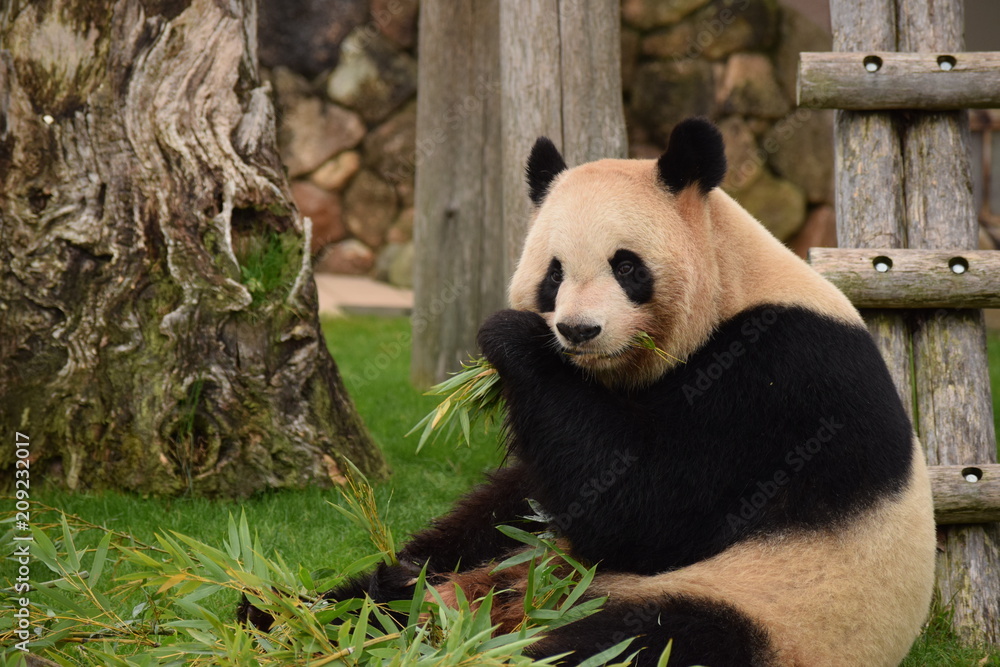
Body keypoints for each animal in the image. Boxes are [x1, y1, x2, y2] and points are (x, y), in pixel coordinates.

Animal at [241, 118, 936, 666]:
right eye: (553, 274)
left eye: (626, 266)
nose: (577, 330)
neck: (734, 286)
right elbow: (525, 496)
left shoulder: (780, 377)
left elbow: (646, 507)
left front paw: (513, 338)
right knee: (393, 595)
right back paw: (287, 618)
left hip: (768, 607)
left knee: (642, 642)